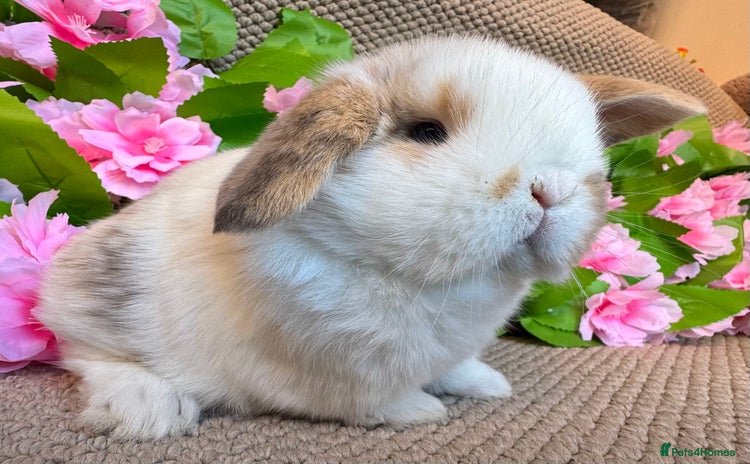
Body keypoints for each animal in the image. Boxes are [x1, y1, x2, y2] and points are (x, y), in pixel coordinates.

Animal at [37, 35, 705, 440]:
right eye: (427, 132)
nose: (550, 190)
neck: (426, 280)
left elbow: (456, 367)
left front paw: (486, 385)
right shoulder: (330, 374)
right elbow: (372, 403)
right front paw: (423, 411)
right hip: (103, 305)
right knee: (88, 356)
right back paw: (150, 410)